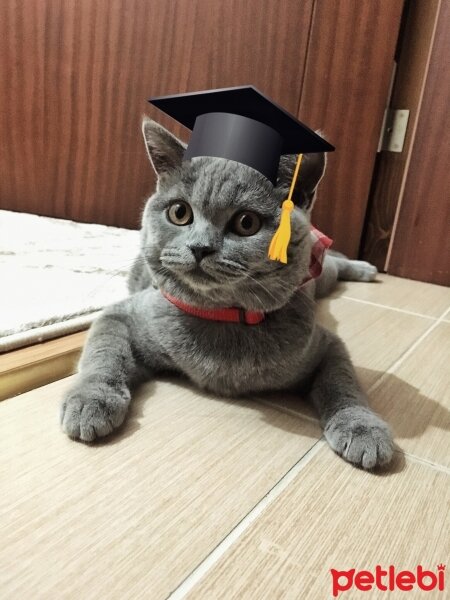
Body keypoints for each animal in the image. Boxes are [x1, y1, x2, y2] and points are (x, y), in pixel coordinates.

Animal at [60, 117, 394, 472]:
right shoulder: (125, 313)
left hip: (321, 277)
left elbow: (344, 382)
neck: (223, 316)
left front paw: (362, 428)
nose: (200, 247)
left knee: (334, 262)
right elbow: (104, 351)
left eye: (247, 222)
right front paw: (90, 400)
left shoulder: (326, 345)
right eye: (179, 213)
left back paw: (366, 269)